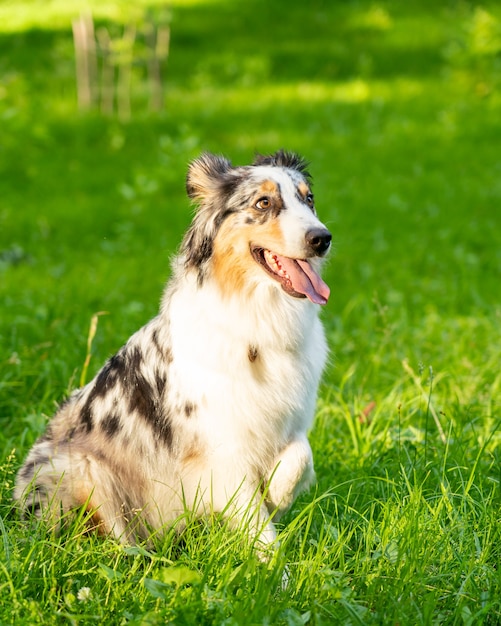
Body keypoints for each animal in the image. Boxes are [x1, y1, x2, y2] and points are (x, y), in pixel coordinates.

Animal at [13, 149, 330, 548]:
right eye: (263, 203)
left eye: (309, 199)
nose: (322, 238)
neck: (258, 316)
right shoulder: (222, 446)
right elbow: (254, 518)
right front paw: (273, 563)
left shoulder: (290, 420)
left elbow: (301, 456)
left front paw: (278, 492)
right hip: (79, 466)